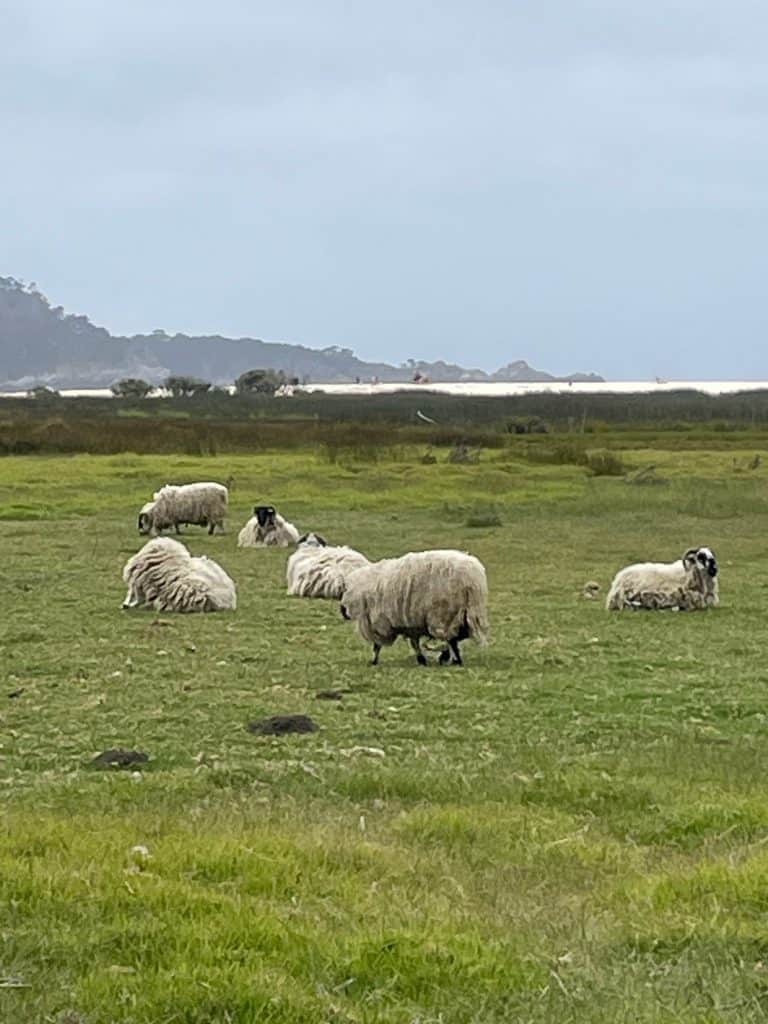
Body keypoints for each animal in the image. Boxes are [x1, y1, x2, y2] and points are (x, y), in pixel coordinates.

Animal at [339, 549, 488, 666]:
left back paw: (453, 658)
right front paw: (421, 659)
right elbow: (414, 643)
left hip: (444, 613)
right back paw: (448, 656)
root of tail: (472, 579)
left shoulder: (381, 623)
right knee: (459, 635)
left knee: (452, 637)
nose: (342, 611)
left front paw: (374, 661)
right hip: (461, 612)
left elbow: (377, 646)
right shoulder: (411, 623)